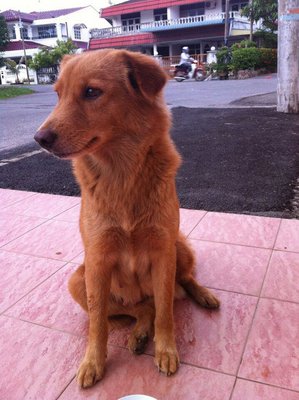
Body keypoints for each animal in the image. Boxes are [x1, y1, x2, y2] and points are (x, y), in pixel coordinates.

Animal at [35, 49, 220, 388]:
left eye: (91, 92)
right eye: (57, 95)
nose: (39, 138)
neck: (121, 174)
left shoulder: (163, 252)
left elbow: (166, 313)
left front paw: (166, 350)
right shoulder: (97, 260)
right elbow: (98, 323)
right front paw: (93, 361)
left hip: (178, 246)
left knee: (177, 286)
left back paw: (202, 296)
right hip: (78, 280)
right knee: (139, 309)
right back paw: (139, 332)